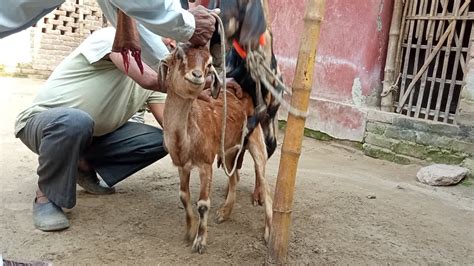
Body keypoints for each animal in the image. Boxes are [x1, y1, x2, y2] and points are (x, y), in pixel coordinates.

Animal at [160, 44, 272, 254]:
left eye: (209, 64)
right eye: (178, 56)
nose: (197, 75)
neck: (185, 139)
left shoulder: (205, 162)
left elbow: (203, 204)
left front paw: (200, 242)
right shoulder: (181, 165)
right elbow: (183, 196)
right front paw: (189, 232)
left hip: (256, 139)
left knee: (264, 181)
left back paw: (269, 233)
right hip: (228, 150)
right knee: (234, 178)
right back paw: (224, 213)